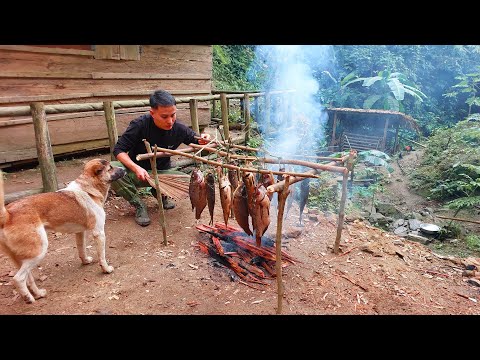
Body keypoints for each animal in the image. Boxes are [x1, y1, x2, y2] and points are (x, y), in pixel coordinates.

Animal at [0, 159, 125, 302]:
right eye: (110, 168)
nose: (125, 169)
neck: (88, 188)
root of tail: (8, 214)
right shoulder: (99, 233)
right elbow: (102, 256)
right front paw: (106, 269)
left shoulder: (80, 232)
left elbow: (81, 249)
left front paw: (85, 261)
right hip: (39, 250)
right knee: (18, 278)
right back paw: (29, 298)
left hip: (21, 258)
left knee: (28, 279)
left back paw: (38, 294)